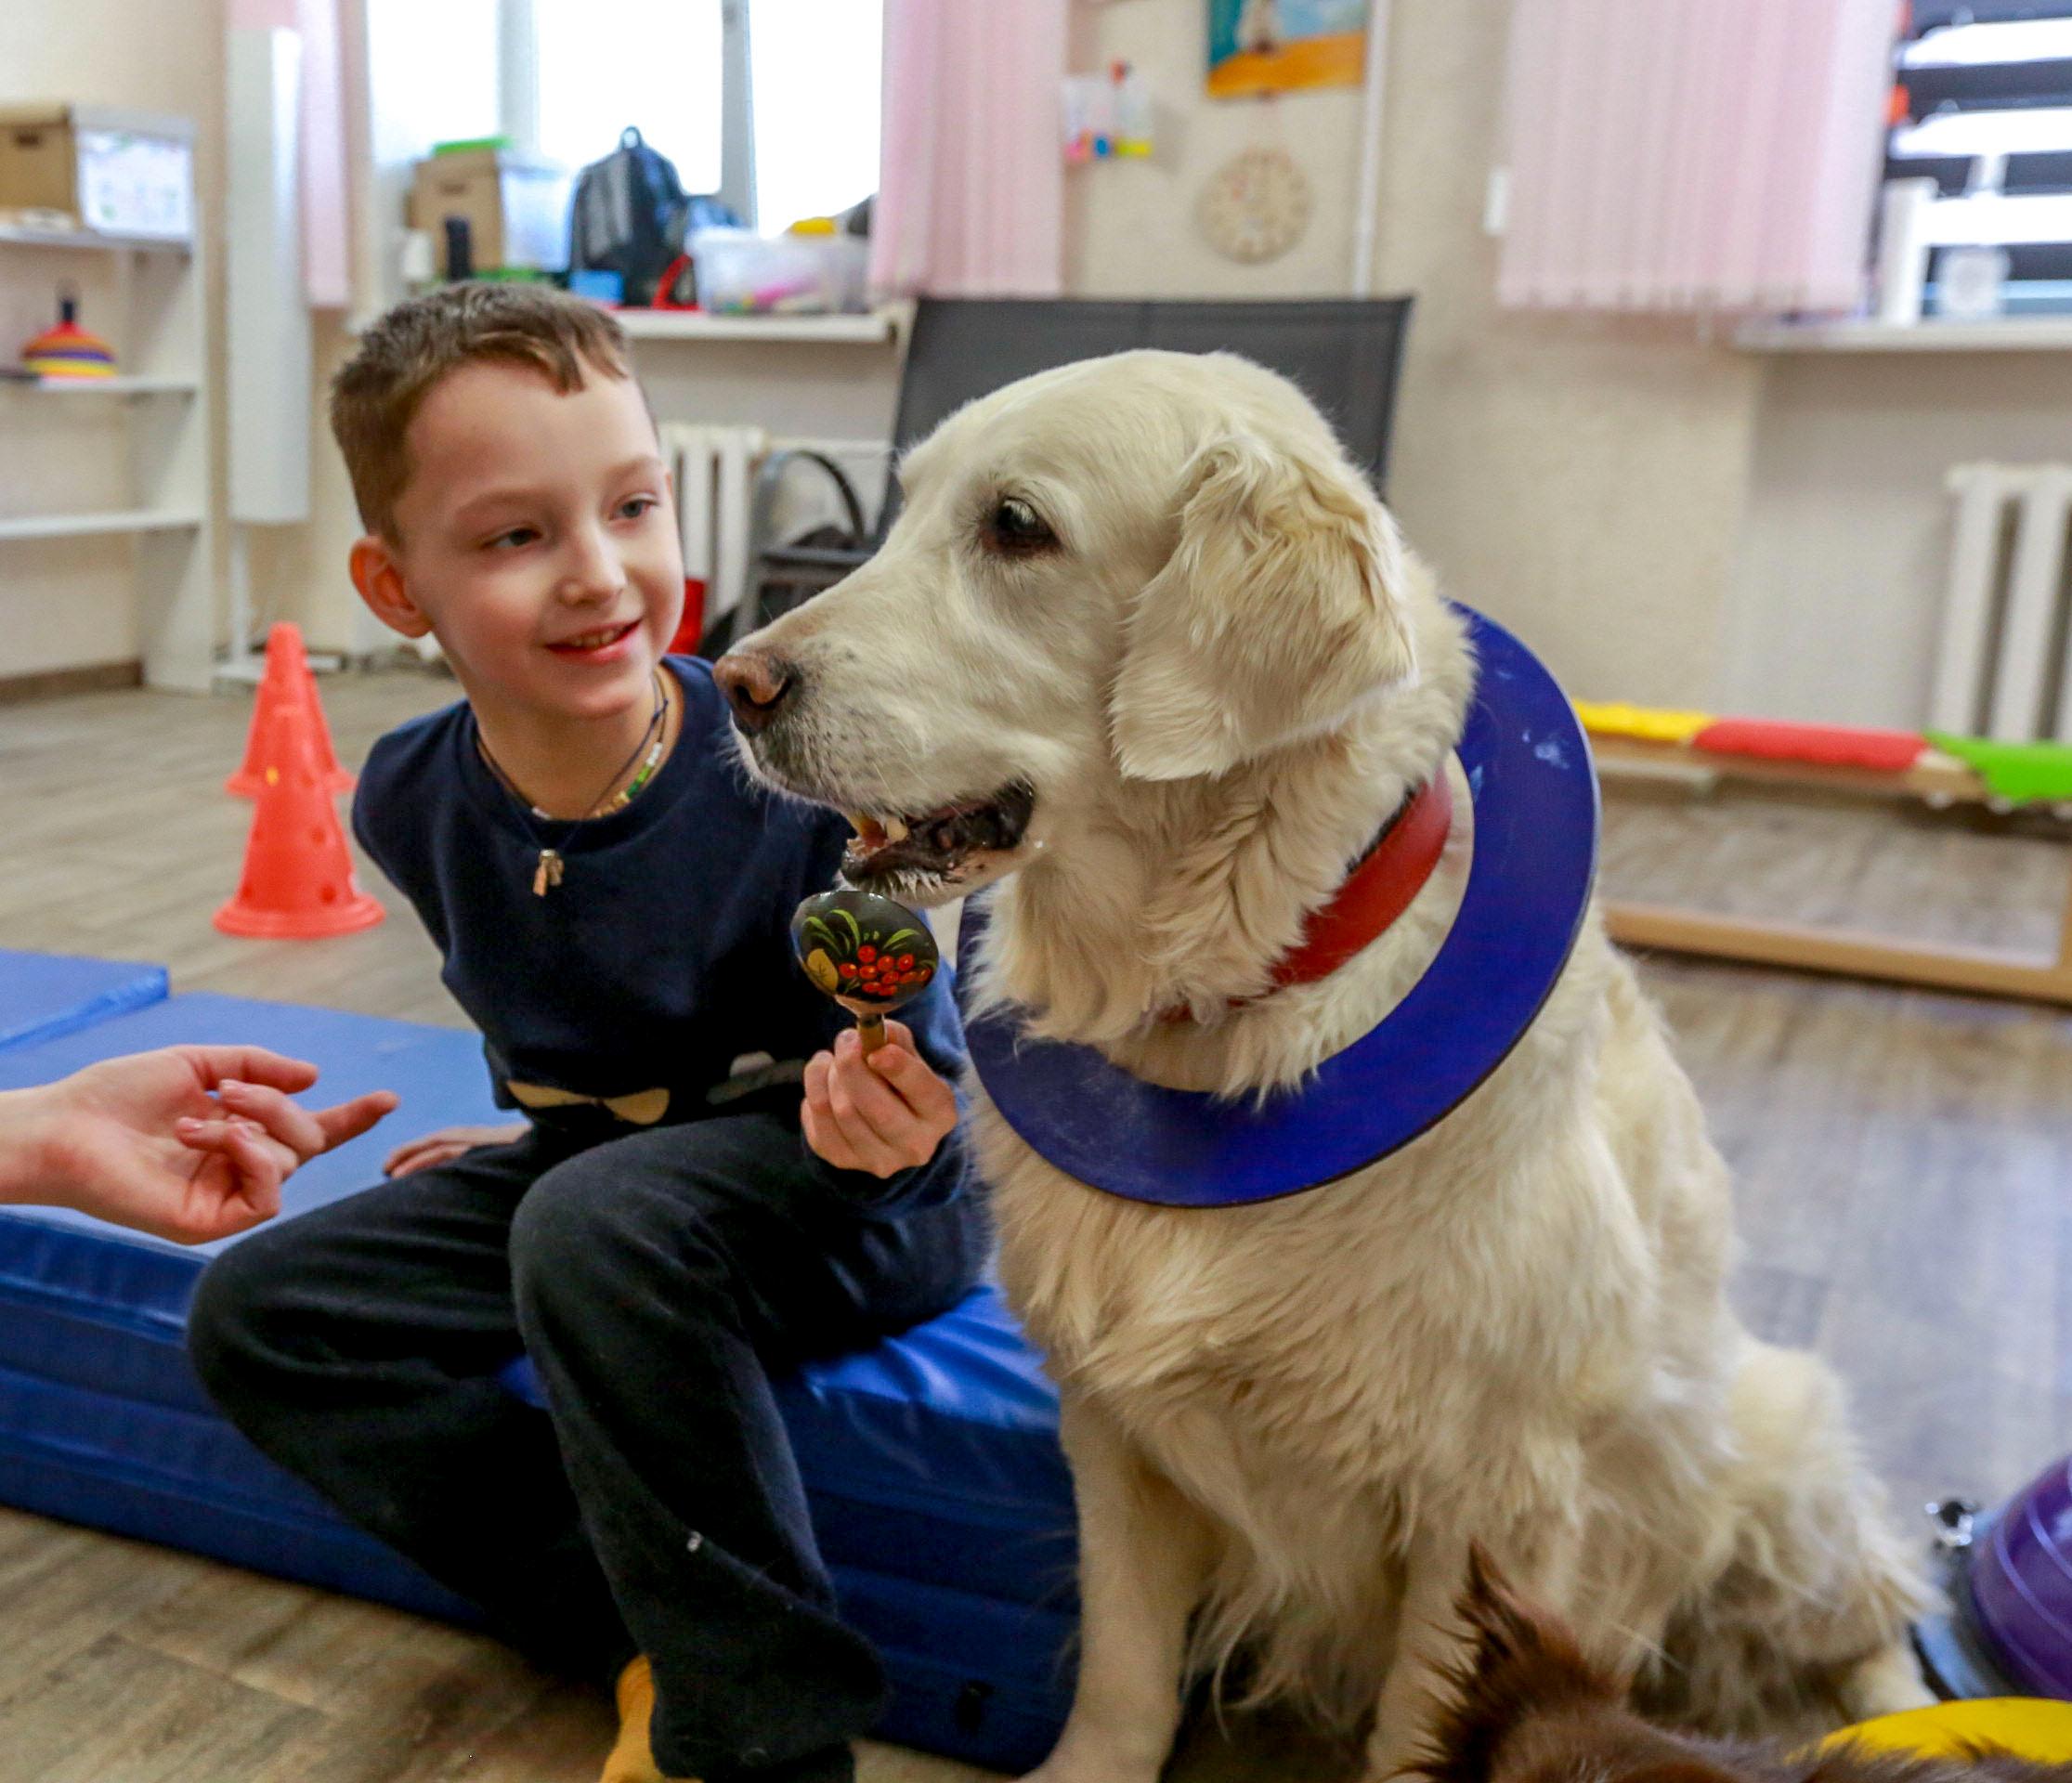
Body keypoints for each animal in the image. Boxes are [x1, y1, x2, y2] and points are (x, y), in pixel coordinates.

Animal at [721, 352, 1931, 1780]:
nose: (734, 682)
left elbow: (1416, 1724)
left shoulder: (1492, 1508)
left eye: (1016, 527)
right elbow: (1123, 1670)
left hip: (1770, 1449)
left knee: (1874, 1611)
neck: (1221, 997)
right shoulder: (1111, 1431)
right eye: (901, 508)